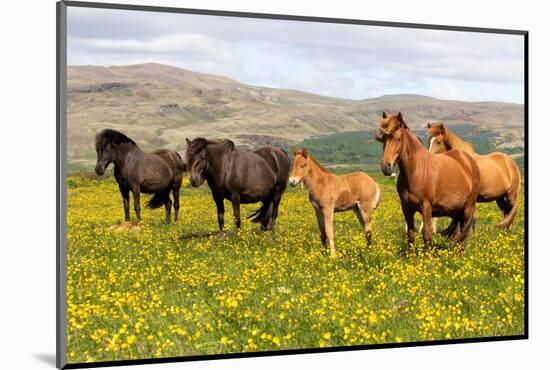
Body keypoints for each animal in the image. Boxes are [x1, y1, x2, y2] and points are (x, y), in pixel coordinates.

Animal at [378, 112, 480, 250]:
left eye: (398, 138)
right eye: (383, 138)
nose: (386, 167)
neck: (416, 171)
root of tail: (469, 161)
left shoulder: (426, 207)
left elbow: (427, 236)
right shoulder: (406, 208)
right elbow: (410, 236)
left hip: (468, 207)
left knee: (464, 235)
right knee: (459, 234)